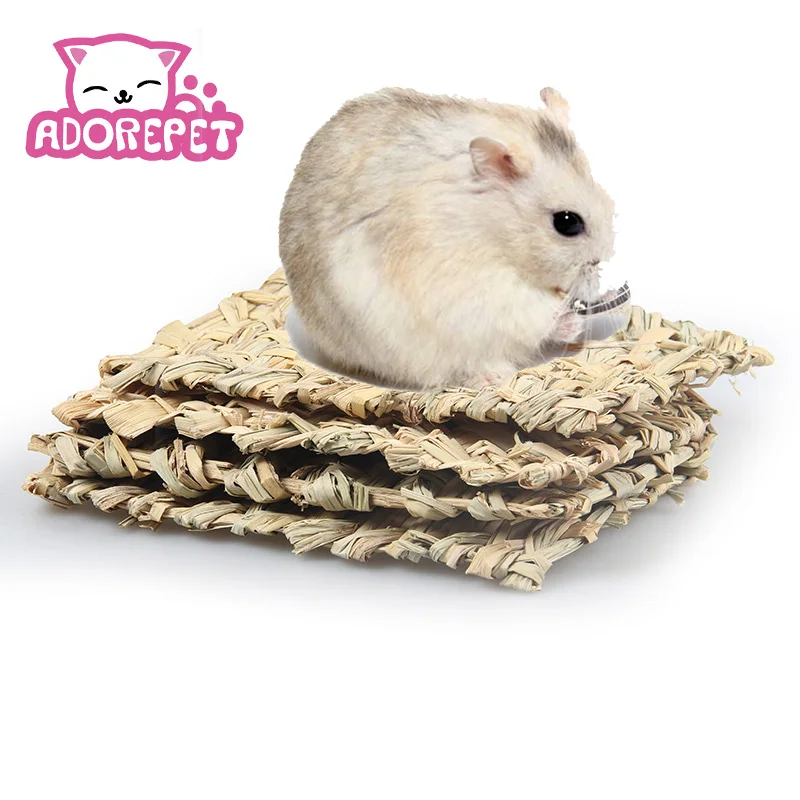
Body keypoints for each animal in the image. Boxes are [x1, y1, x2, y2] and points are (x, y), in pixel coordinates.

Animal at [279, 87, 615, 390]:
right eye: (567, 223)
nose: (601, 263)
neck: (493, 229)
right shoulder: (477, 294)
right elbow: (532, 314)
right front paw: (572, 319)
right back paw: (492, 378)